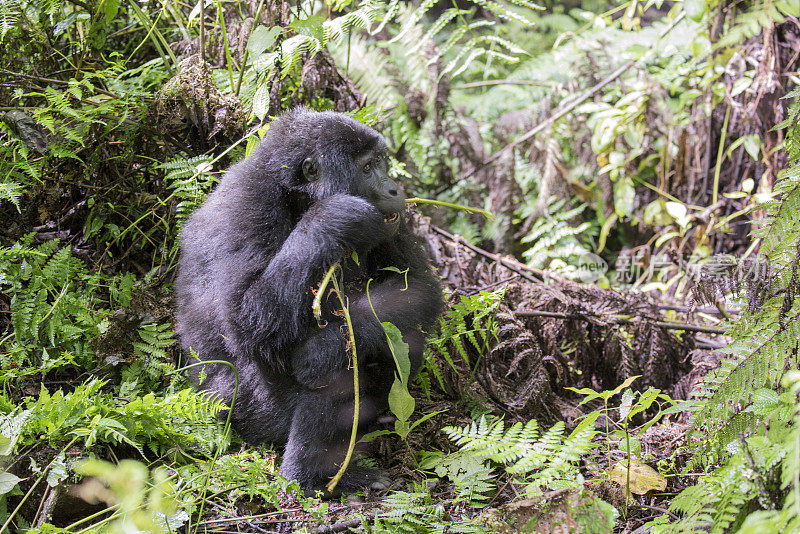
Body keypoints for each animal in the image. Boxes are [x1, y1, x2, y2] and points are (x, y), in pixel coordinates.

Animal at [174, 107, 444, 496]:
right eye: (367, 168)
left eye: (381, 162)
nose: (395, 188)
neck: (296, 194)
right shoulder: (246, 209)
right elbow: (247, 323)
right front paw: (334, 217)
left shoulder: (393, 224)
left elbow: (417, 288)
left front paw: (319, 350)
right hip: (236, 411)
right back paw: (312, 474)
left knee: (393, 335)